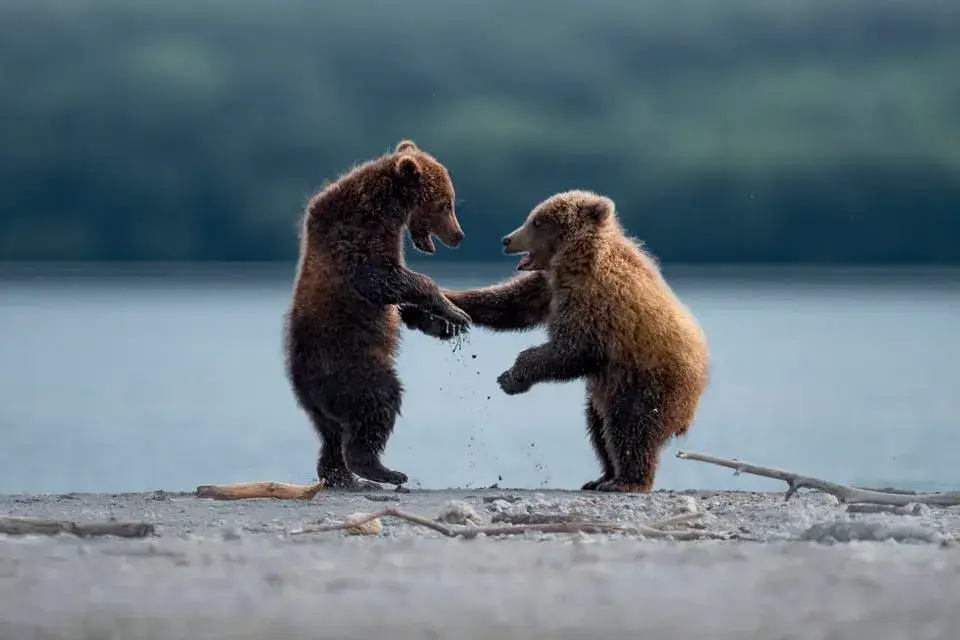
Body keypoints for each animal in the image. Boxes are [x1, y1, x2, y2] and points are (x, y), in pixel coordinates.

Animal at [284, 140, 472, 490]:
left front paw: (443, 324)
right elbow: (389, 280)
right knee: (378, 403)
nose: (459, 235)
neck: (385, 210)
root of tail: (305, 386)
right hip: (352, 368)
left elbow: (399, 301)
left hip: (321, 403)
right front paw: (454, 311)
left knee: (331, 436)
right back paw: (381, 470)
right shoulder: (355, 244)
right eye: (446, 204)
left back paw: (342, 476)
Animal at [401, 190, 709, 492]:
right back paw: (602, 477)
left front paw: (511, 377)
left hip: (645, 382)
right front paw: (427, 309)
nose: (506, 240)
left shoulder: (594, 301)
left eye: (537, 221)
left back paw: (626, 481)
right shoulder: (549, 287)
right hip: (608, 388)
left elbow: (571, 349)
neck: (573, 260)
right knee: (598, 427)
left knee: (630, 428)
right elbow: (508, 304)